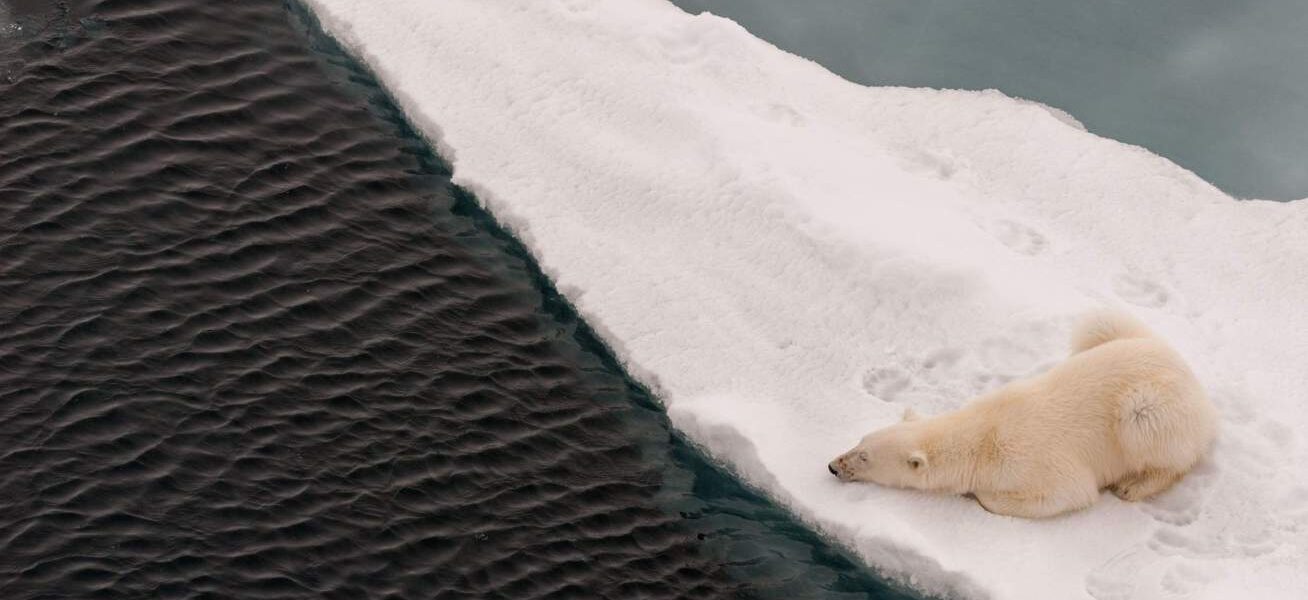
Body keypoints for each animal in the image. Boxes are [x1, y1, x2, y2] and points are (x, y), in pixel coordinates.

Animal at [826, 312, 1213, 520]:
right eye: (860, 440)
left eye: (864, 457)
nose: (833, 465)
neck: (984, 435)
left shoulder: (1032, 460)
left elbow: (1068, 493)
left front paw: (976, 495)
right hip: (1119, 337)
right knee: (1098, 323)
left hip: (1148, 408)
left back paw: (1134, 486)